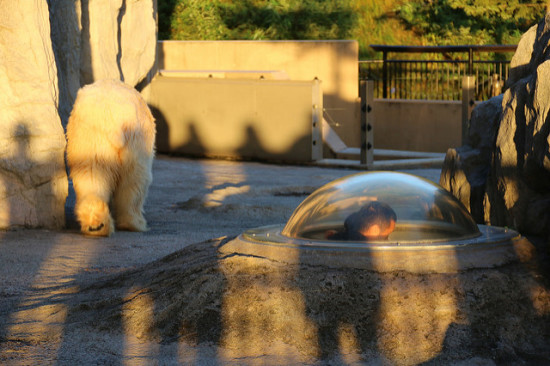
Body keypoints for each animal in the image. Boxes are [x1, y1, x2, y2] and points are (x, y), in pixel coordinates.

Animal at [67, 78, 157, 236]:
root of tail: (111, 115)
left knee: (91, 173)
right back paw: (134, 223)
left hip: (91, 137)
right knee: (135, 180)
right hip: (134, 138)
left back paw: (96, 224)